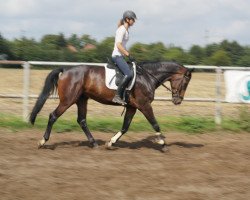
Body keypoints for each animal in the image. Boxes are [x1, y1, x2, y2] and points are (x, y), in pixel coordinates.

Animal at [29, 61, 193, 152]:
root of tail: (65, 70)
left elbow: (125, 127)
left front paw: (111, 142)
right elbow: (155, 124)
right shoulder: (144, 105)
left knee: (82, 120)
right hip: (68, 100)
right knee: (53, 116)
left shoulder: (132, 107)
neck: (147, 77)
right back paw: (42, 142)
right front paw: (162, 143)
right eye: (185, 82)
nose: (178, 101)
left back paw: (94, 143)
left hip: (81, 100)